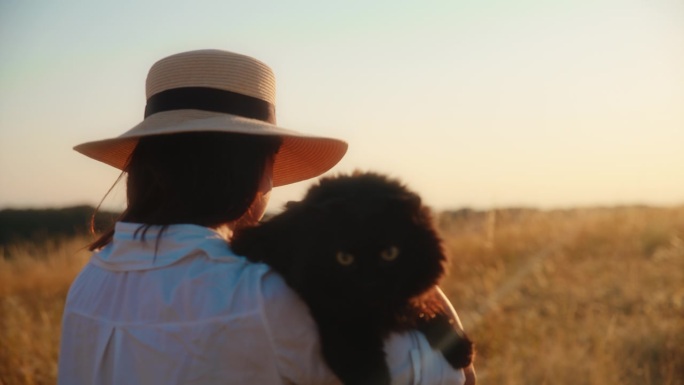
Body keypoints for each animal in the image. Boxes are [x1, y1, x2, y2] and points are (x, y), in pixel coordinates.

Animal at [232, 172, 472, 384]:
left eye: (390, 253)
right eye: (344, 258)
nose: (369, 283)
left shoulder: (411, 299)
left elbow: (430, 311)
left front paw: (461, 348)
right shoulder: (340, 322)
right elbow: (369, 371)